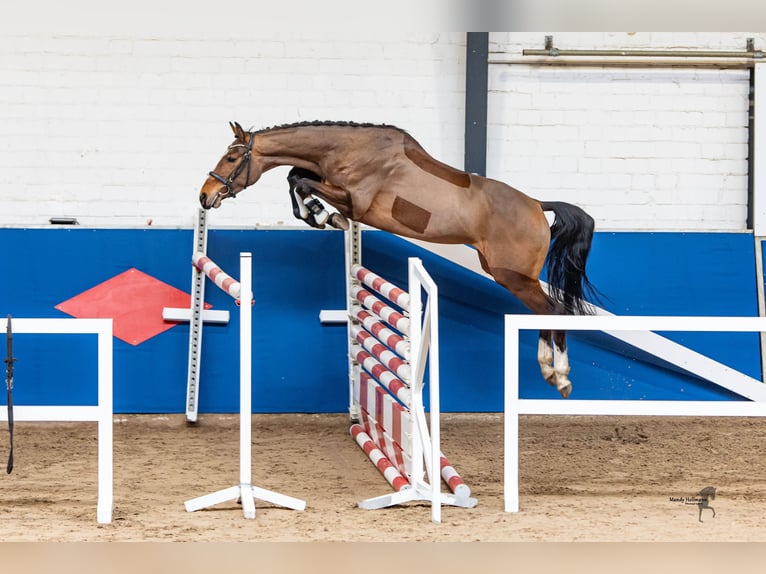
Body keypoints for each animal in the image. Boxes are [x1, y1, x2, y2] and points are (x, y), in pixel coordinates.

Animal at [199, 120, 598, 398]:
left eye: (232, 157)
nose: (205, 195)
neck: (348, 150)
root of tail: (537, 206)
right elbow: (296, 176)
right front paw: (319, 215)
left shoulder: (354, 200)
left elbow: (302, 182)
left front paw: (324, 216)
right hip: (508, 275)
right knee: (546, 312)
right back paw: (549, 370)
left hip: (512, 276)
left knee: (555, 310)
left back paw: (561, 376)